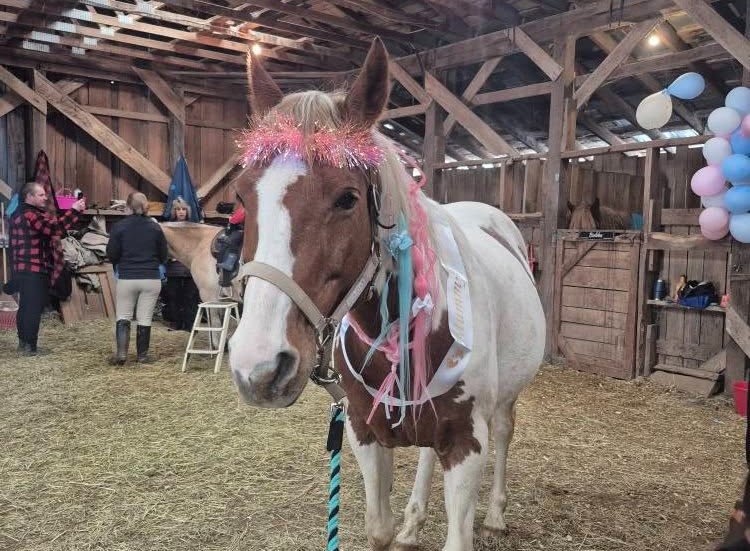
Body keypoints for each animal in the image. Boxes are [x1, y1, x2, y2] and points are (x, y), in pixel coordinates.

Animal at [229, 40, 548, 551]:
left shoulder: (467, 443)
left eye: (347, 198)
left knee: (503, 433)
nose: (258, 368)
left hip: (503, 405)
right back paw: (414, 520)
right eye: (242, 196)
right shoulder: (364, 433)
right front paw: (402, 524)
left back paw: (496, 514)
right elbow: (378, 527)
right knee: (426, 455)